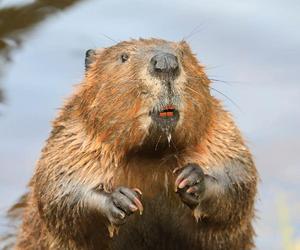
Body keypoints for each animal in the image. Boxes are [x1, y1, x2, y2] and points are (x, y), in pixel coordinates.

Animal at [2, 38, 256, 249]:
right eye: (123, 57)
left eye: (183, 54)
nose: (166, 62)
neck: (150, 155)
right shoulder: (73, 136)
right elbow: (59, 188)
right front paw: (122, 200)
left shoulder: (219, 131)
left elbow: (239, 176)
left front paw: (191, 180)